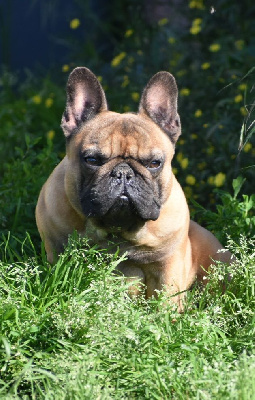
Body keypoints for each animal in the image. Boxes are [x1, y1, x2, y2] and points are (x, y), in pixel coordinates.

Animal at [35, 67, 233, 310]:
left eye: (154, 163)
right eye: (92, 160)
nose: (123, 173)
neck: (118, 231)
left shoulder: (167, 267)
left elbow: (165, 300)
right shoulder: (57, 250)